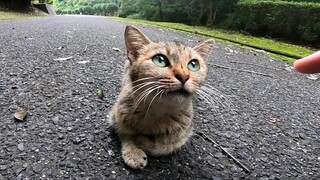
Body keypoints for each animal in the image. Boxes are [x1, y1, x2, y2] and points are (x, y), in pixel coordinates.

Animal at [109, 25, 214, 169]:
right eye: (160, 60)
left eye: (194, 64)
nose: (184, 76)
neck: (157, 112)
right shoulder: (115, 116)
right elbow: (125, 133)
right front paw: (133, 150)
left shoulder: (183, 135)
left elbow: (163, 146)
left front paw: (143, 141)